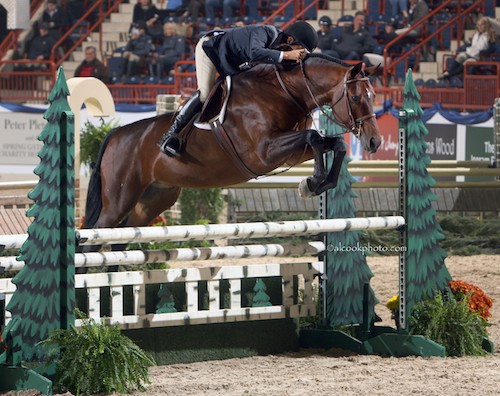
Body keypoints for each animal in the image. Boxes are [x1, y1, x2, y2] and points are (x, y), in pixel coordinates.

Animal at [85, 55, 382, 229]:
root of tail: (114, 136)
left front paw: (319, 183)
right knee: (97, 236)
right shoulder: (264, 152)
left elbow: (333, 144)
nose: (374, 142)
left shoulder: (291, 154)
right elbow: (314, 137)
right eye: (356, 97)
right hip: (119, 199)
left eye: (374, 96)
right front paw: (312, 182)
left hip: (152, 200)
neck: (284, 92)